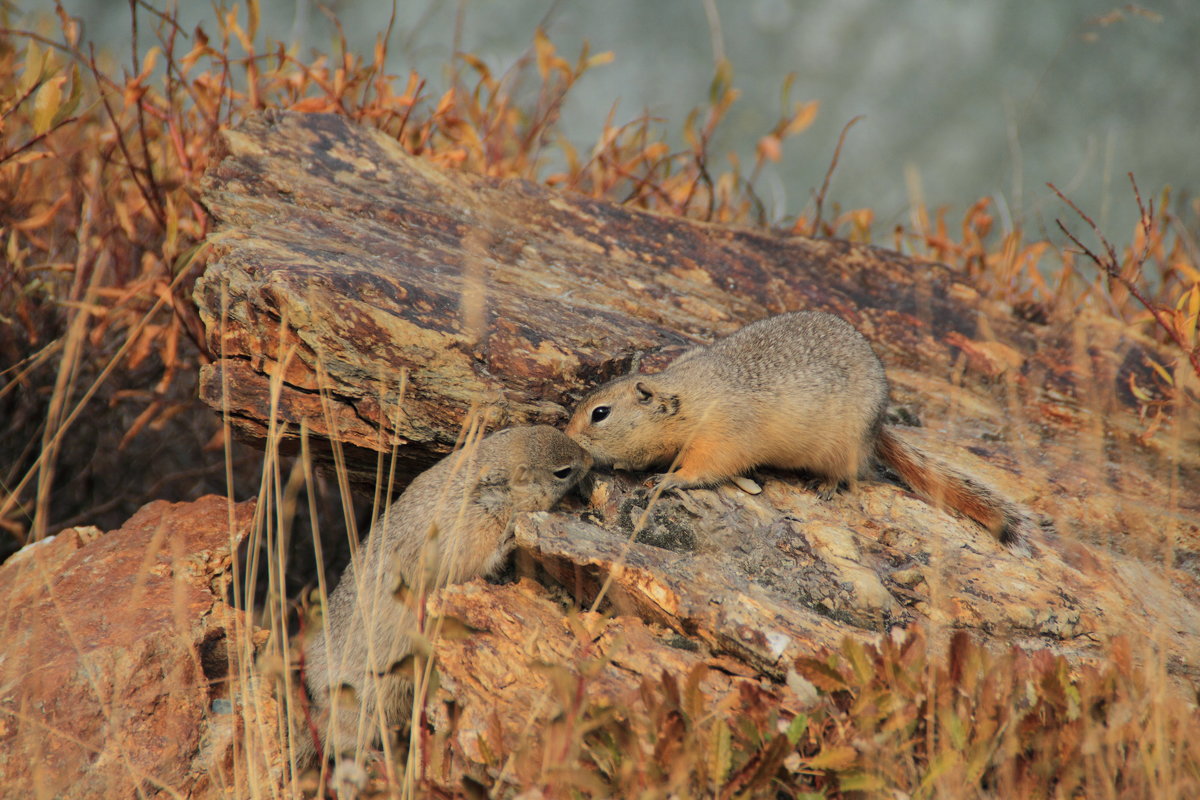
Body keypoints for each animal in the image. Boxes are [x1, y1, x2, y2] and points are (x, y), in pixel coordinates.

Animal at [566, 309, 1027, 546]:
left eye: (600, 414)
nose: (568, 440)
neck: (689, 399)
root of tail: (879, 425)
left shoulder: (723, 435)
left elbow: (707, 468)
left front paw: (668, 480)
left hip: (842, 446)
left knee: (849, 473)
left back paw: (825, 485)